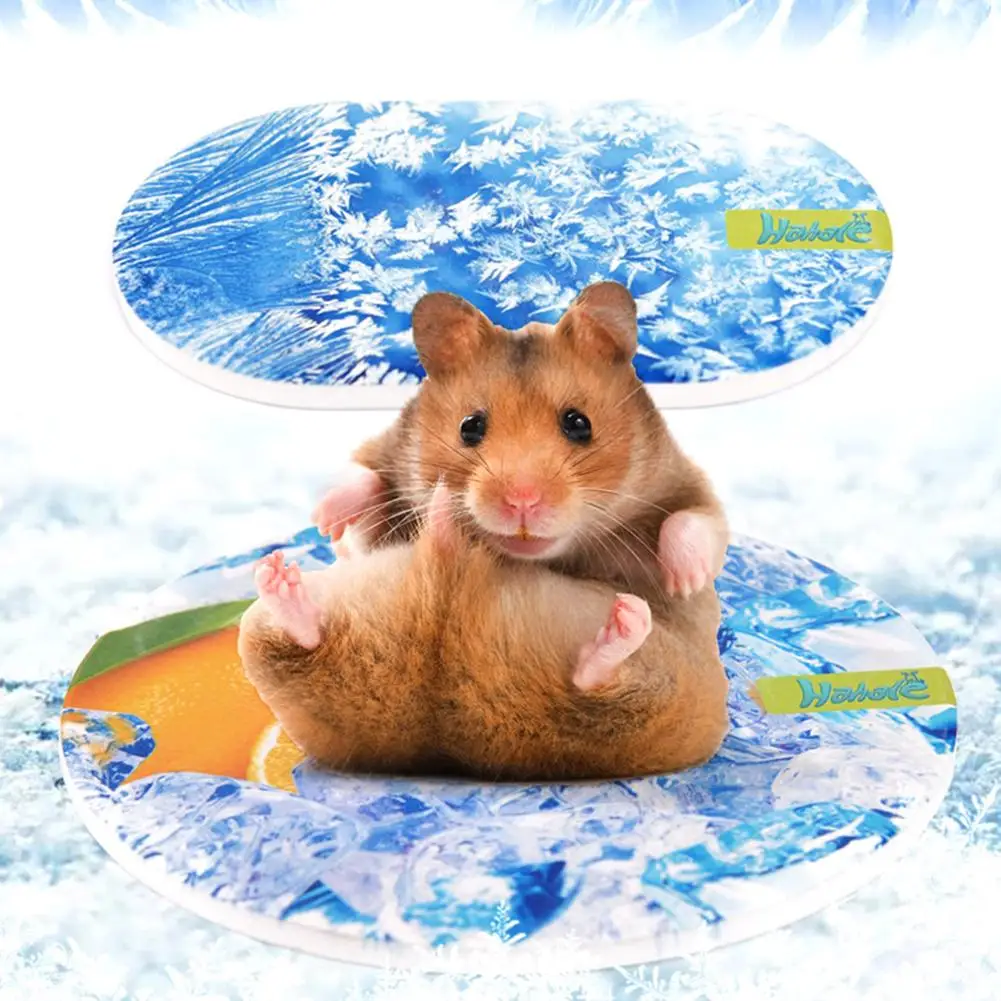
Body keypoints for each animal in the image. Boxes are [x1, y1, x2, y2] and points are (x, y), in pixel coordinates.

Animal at [312, 281, 729, 620]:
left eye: (579, 424)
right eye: (470, 427)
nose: (522, 502)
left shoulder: (683, 480)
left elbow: (696, 520)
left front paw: (684, 582)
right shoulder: (388, 462)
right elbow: (361, 483)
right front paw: (324, 521)